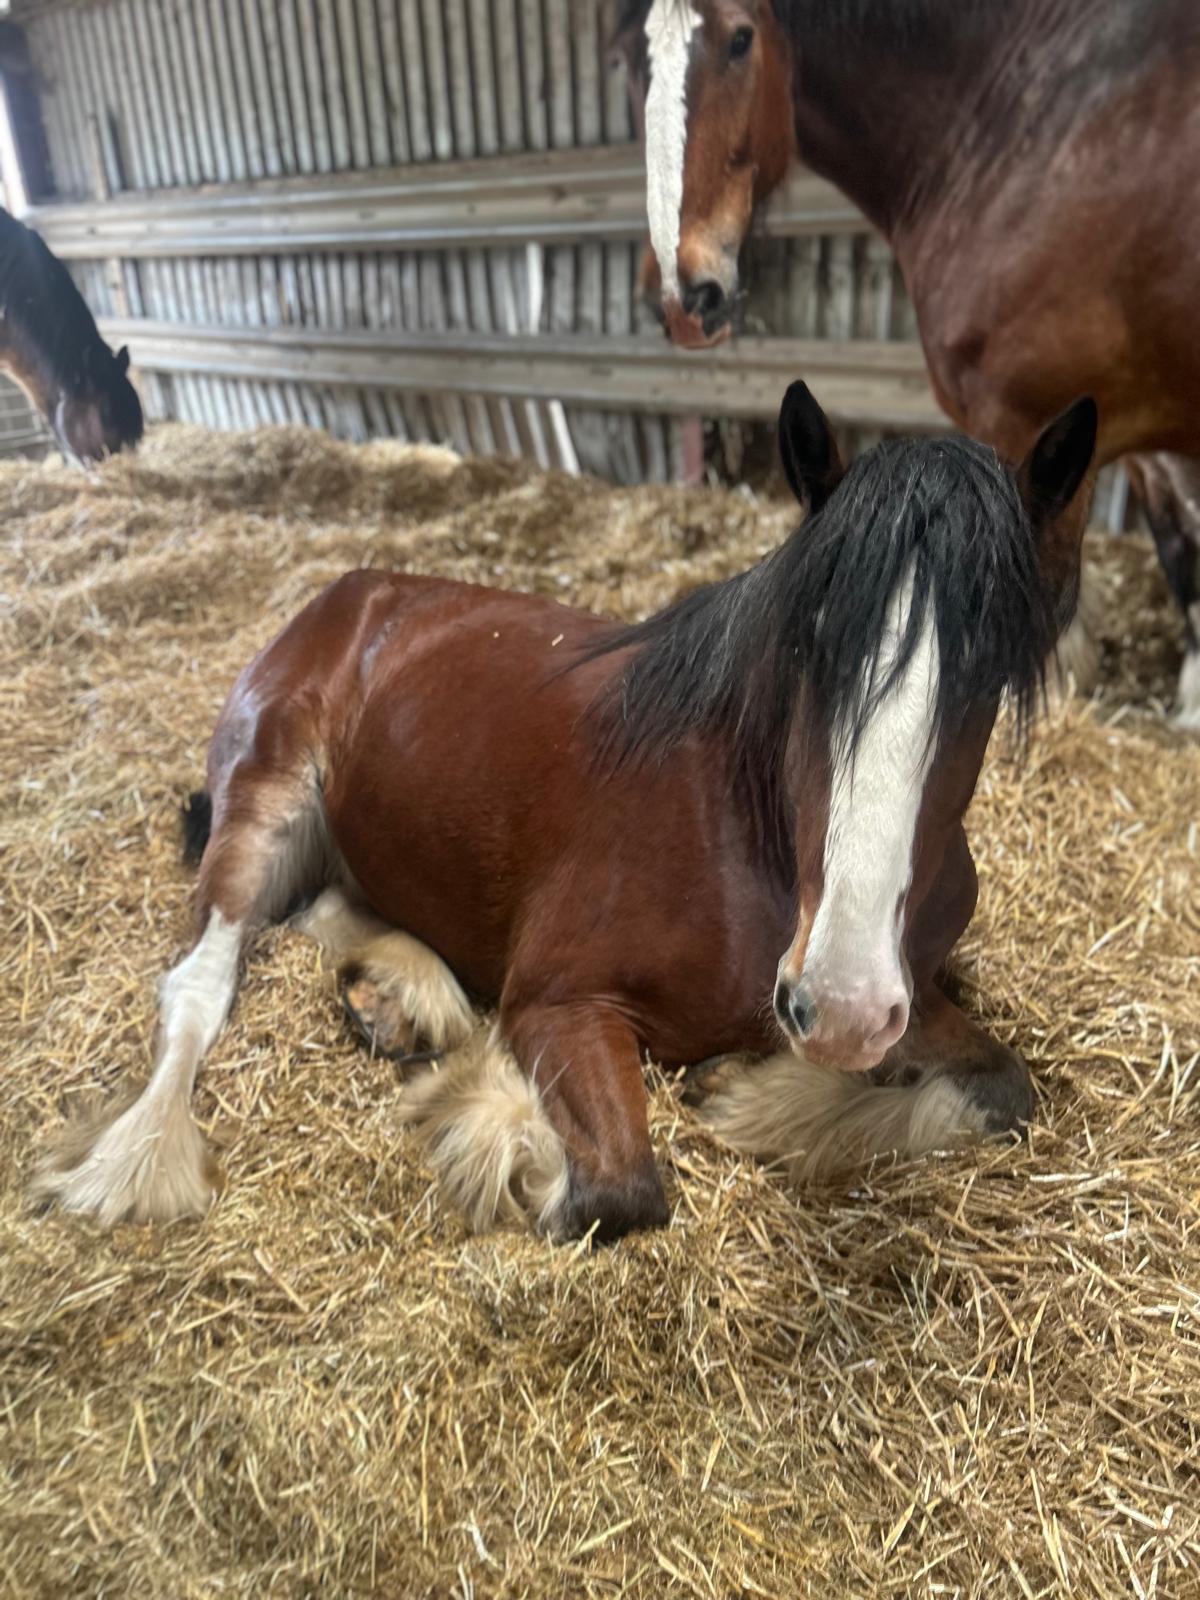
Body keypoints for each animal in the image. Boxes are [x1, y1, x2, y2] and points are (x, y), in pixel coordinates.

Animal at [32, 382, 1098, 1242]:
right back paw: (138, 1161)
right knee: (201, 984)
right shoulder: (559, 1003)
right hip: (265, 801)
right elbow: (616, 1189)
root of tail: (344, 595)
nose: (837, 1004)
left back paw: (400, 996)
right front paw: (485, 1111)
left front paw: (752, 1095)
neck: (741, 833)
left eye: (986, 674)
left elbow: (1006, 1087)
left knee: (328, 903)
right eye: (809, 644)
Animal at [613, 0, 1200, 726]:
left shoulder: (1031, 423)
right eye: (626, 58)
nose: (681, 295)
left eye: (740, 39)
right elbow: (1179, 545)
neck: (1017, 125)